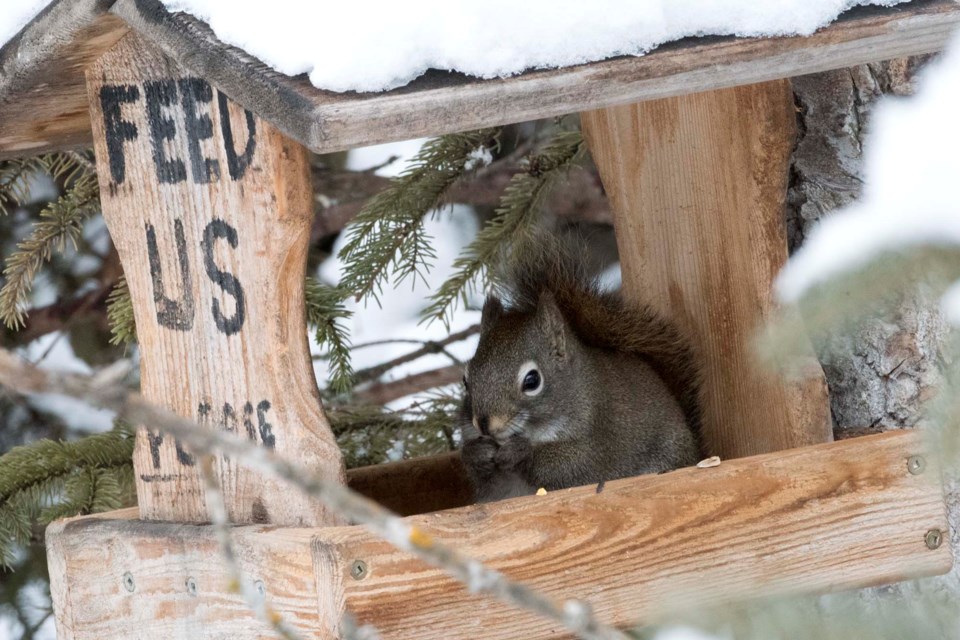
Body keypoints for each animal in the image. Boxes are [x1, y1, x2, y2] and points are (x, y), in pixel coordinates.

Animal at [458, 238, 696, 502]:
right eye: (465, 380)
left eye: (532, 381)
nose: (484, 425)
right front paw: (476, 452)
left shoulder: (602, 437)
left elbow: (578, 466)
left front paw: (522, 453)